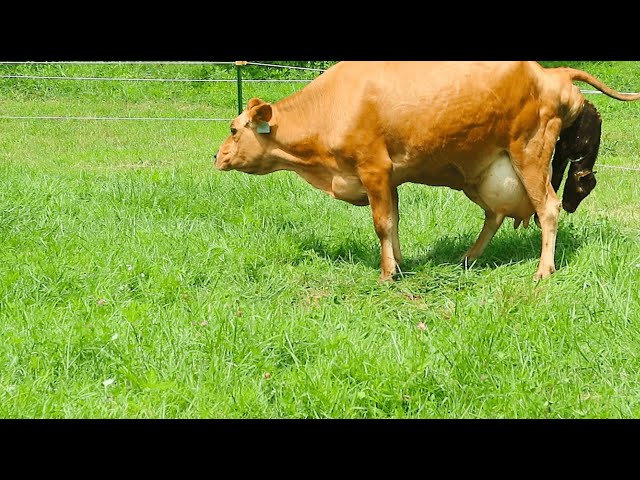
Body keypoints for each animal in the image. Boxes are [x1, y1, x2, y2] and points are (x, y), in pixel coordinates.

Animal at [214, 61, 639, 281]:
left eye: (234, 129)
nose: (217, 156)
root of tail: (551, 71)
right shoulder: (388, 177)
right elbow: (394, 221)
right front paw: (399, 264)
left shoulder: (373, 167)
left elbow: (382, 223)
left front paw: (387, 274)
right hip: (487, 171)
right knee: (495, 215)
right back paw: (468, 258)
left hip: (530, 153)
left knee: (547, 208)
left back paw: (543, 270)